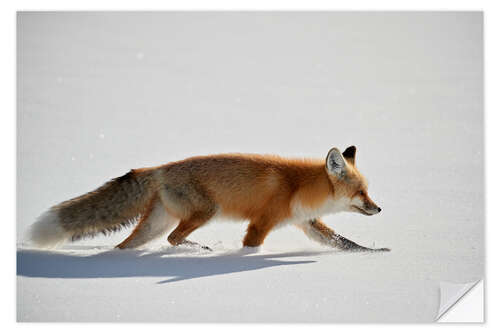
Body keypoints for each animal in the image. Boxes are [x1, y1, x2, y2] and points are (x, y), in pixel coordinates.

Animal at [28, 147, 390, 250]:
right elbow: (251, 247)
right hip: (205, 212)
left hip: (156, 224)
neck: (297, 188)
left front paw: (375, 253)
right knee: (174, 239)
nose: (379, 208)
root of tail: (157, 168)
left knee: (127, 245)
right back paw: (198, 249)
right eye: (361, 192)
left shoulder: (307, 222)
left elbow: (345, 243)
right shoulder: (261, 223)